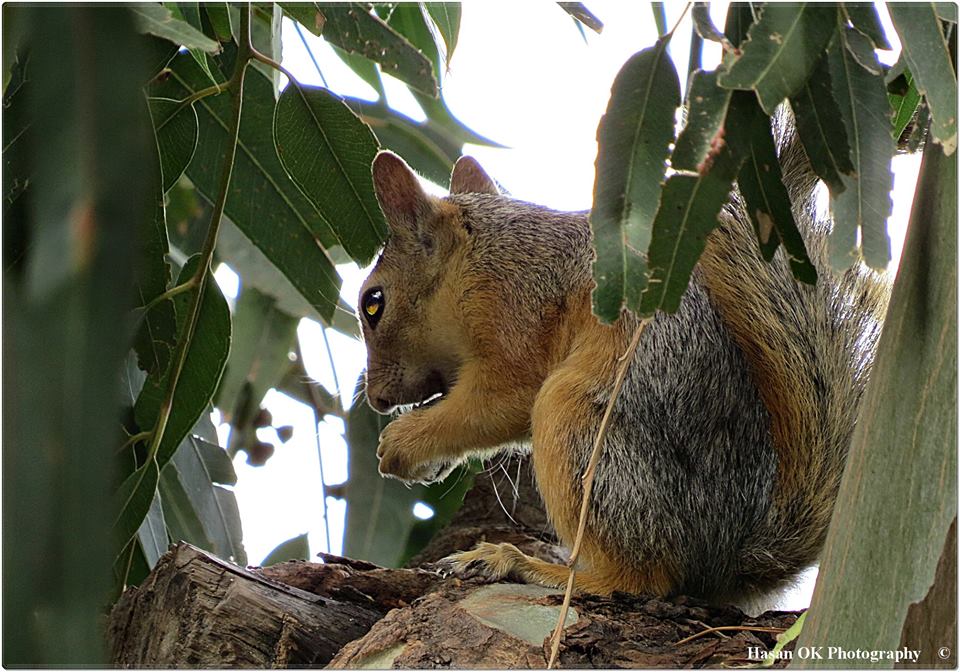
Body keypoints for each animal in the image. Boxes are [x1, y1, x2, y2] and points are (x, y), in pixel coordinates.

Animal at [356, 131, 888, 604]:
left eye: (373, 303)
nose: (377, 400)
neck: (479, 254)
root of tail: (727, 558)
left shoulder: (515, 311)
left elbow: (497, 404)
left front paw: (401, 443)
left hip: (578, 426)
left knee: (642, 579)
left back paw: (522, 563)